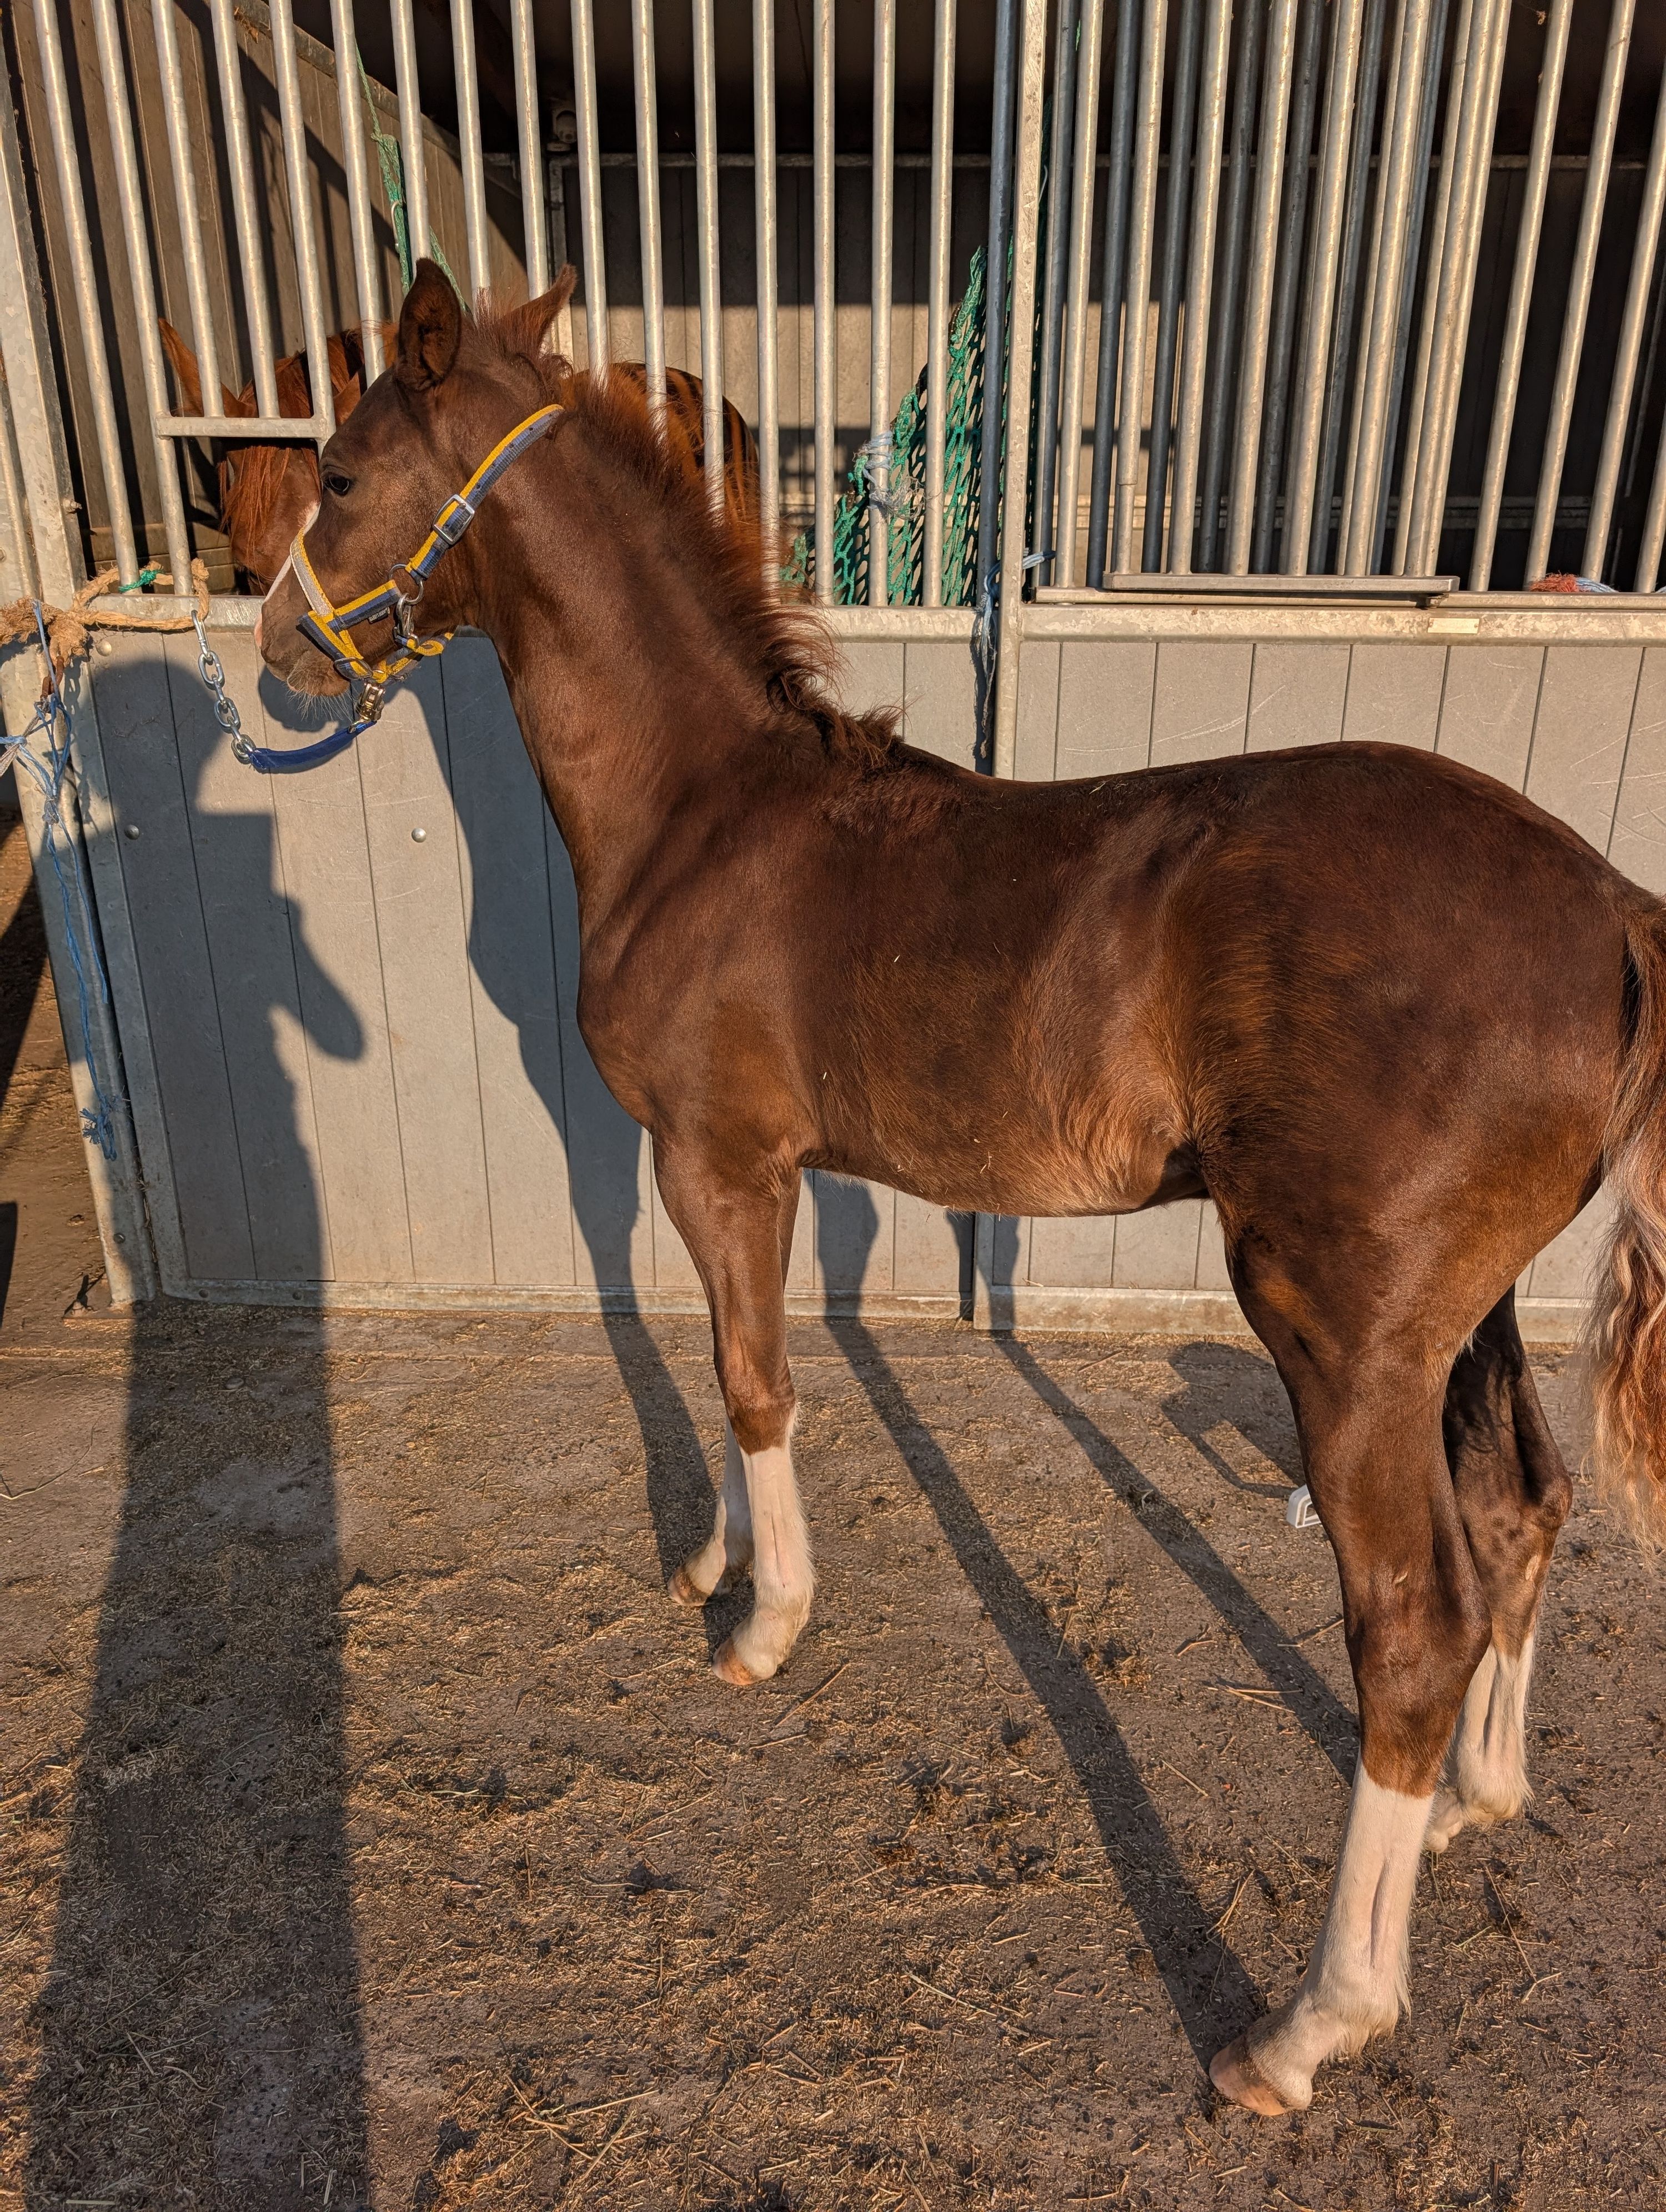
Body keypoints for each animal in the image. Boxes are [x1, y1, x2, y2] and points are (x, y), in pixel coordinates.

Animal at [255, 260, 1666, 2117]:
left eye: (341, 476)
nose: (273, 657)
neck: (703, 815)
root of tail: (1615, 914)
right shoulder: (742, 1171)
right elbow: (735, 1361)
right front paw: (714, 1558)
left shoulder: (720, 1155)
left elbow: (753, 1376)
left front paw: (763, 1622)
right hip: (1468, 1310)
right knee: (1521, 1509)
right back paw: (1473, 1805)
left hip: (1343, 1326)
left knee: (1413, 1617)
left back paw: (1308, 2025)